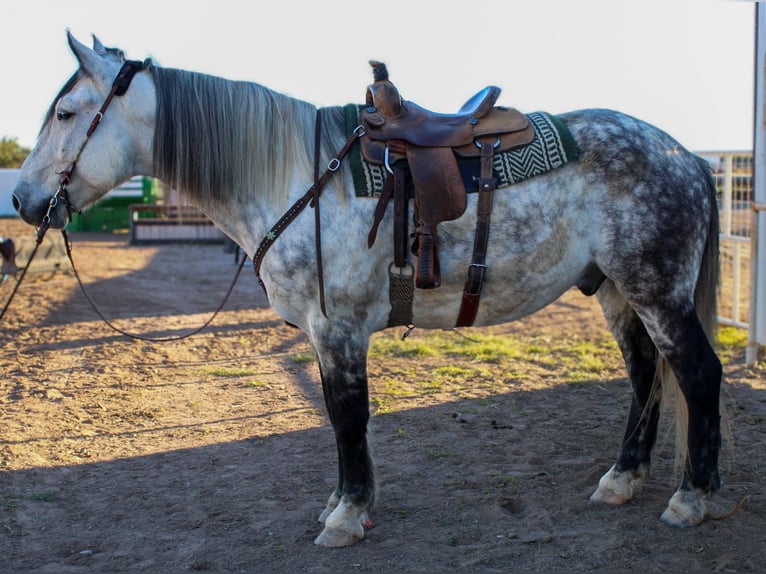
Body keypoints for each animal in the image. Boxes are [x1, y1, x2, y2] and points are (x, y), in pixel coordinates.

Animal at [12, 32, 724, 547]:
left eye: (66, 112)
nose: (22, 200)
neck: (295, 175)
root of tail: (685, 156)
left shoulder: (340, 327)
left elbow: (349, 416)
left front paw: (347, 517)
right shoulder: (323, 331)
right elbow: (335, 415)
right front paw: (344, 501)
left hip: (657, 291)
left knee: (696, 373)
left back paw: (692, 497)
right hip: (616, 292)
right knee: (645, 375)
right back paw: (622, 479)